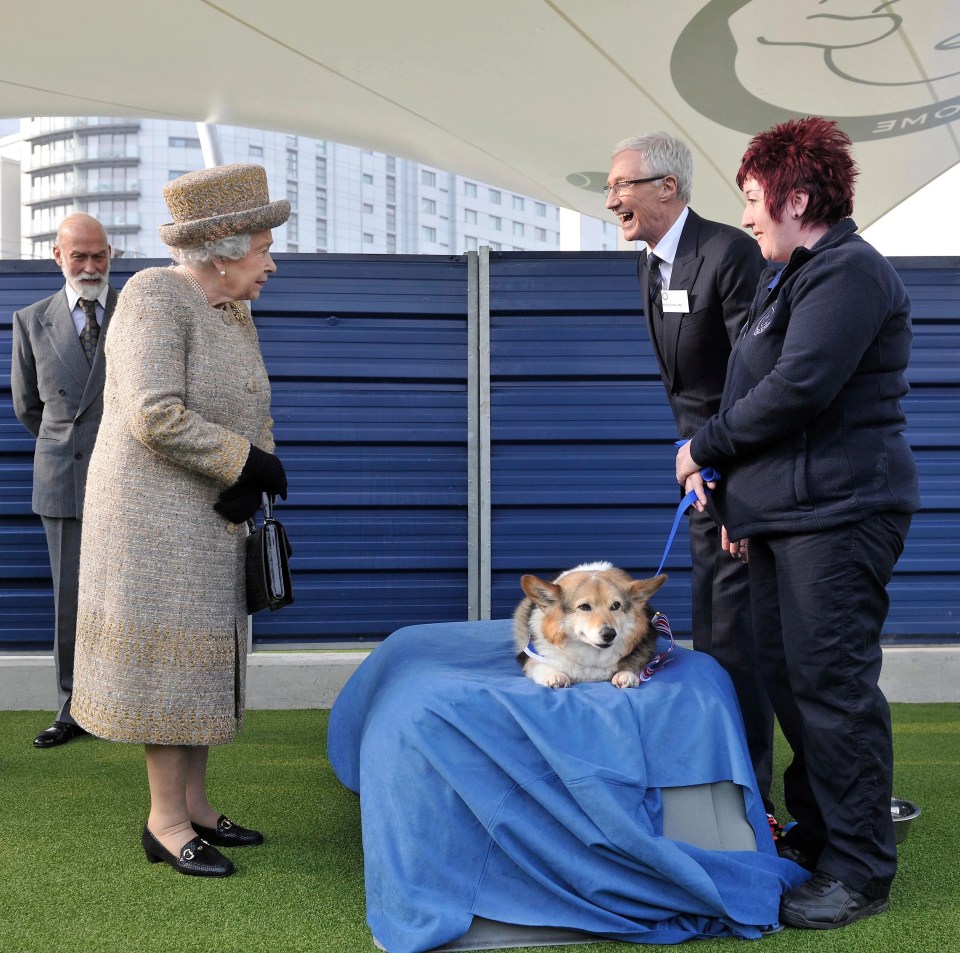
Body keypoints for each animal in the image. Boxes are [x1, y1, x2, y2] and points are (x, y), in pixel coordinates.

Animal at [510, 560, 668, 688]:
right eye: (584, 607)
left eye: (616, 605)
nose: (609, 634)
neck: (592, 654)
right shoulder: (533, 656)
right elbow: (539, 664)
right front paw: (555, 675)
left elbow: (637, 662)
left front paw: (626, 674)